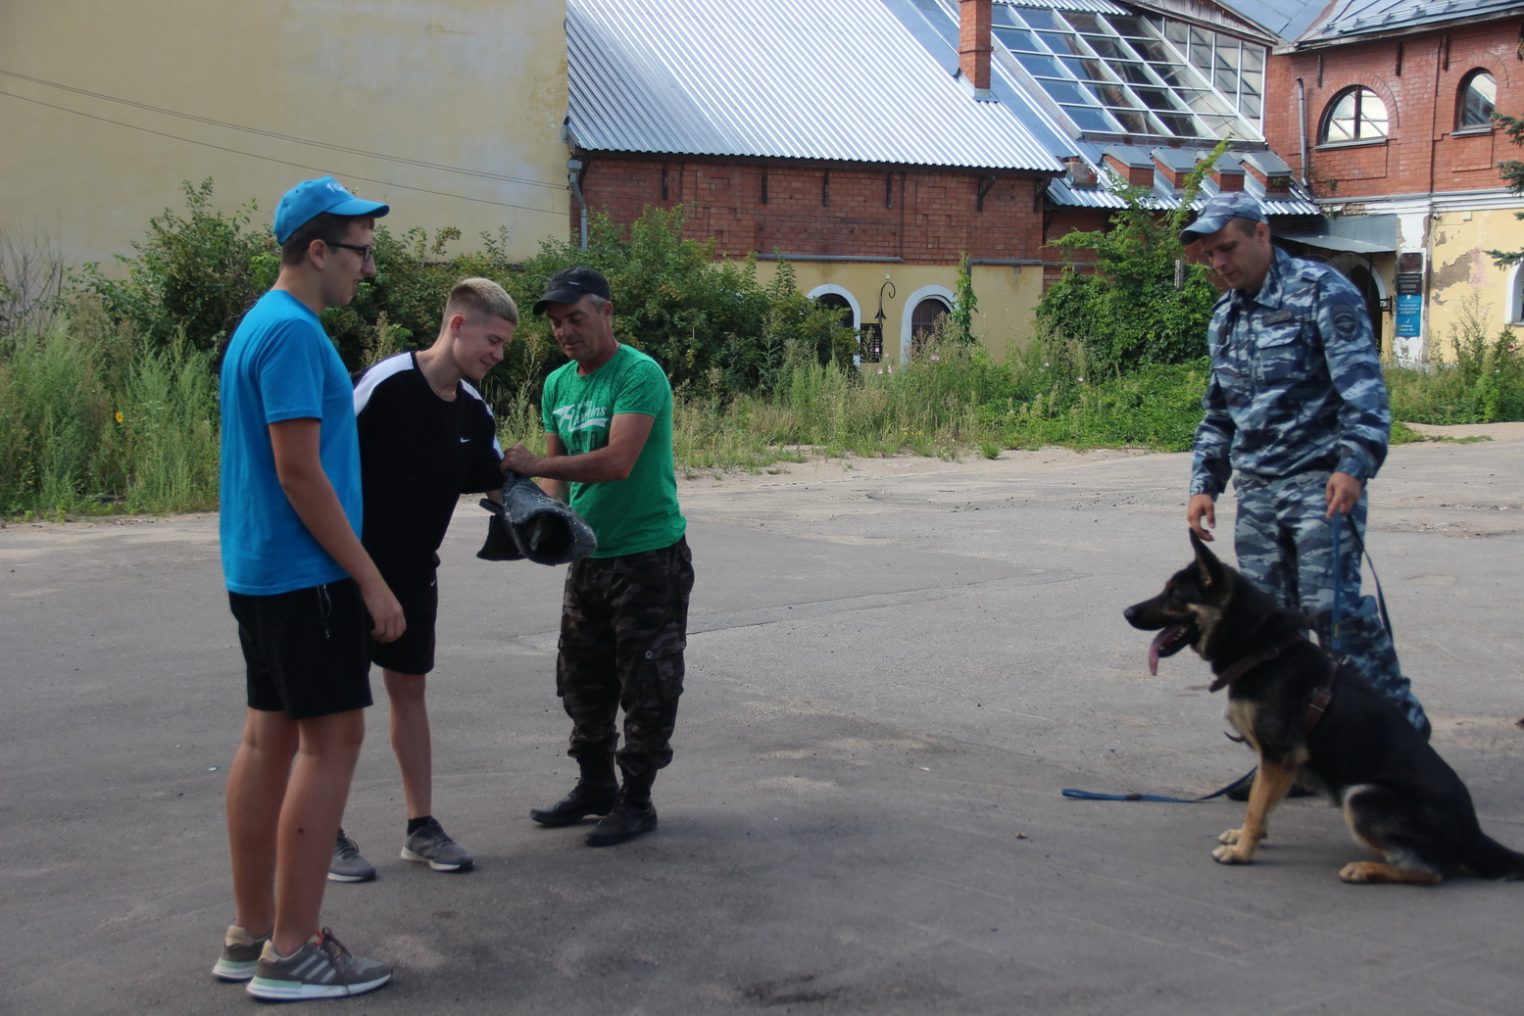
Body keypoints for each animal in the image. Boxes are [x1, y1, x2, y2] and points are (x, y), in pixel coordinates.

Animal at [1121, 536, 1524, 883]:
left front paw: (1241, 852)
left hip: (1362, 795)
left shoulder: (1278, 756)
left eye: (1174, 595)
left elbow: (1255, 805)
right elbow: (1260, 802)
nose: (1126, 611)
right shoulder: (1277, 764)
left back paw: (1365, 870)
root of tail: (1473, 833)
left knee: (1432, 871)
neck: (1260, 648)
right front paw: (1246, 837)